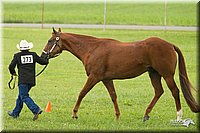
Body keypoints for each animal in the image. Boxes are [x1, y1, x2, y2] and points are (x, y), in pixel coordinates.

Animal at [41, 27, 199, 121]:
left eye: (50, 40)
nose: (42, 56)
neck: (92, 48)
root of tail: (170, 44)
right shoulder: (106, 79)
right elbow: (113, 96)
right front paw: (117, 116)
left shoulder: (94, 77)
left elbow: (82, 93)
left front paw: (74, 113)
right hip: (154, 74)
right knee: (159, 92)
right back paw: (146, 115)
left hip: (166, 75)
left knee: (175, 91)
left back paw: (179, 117)